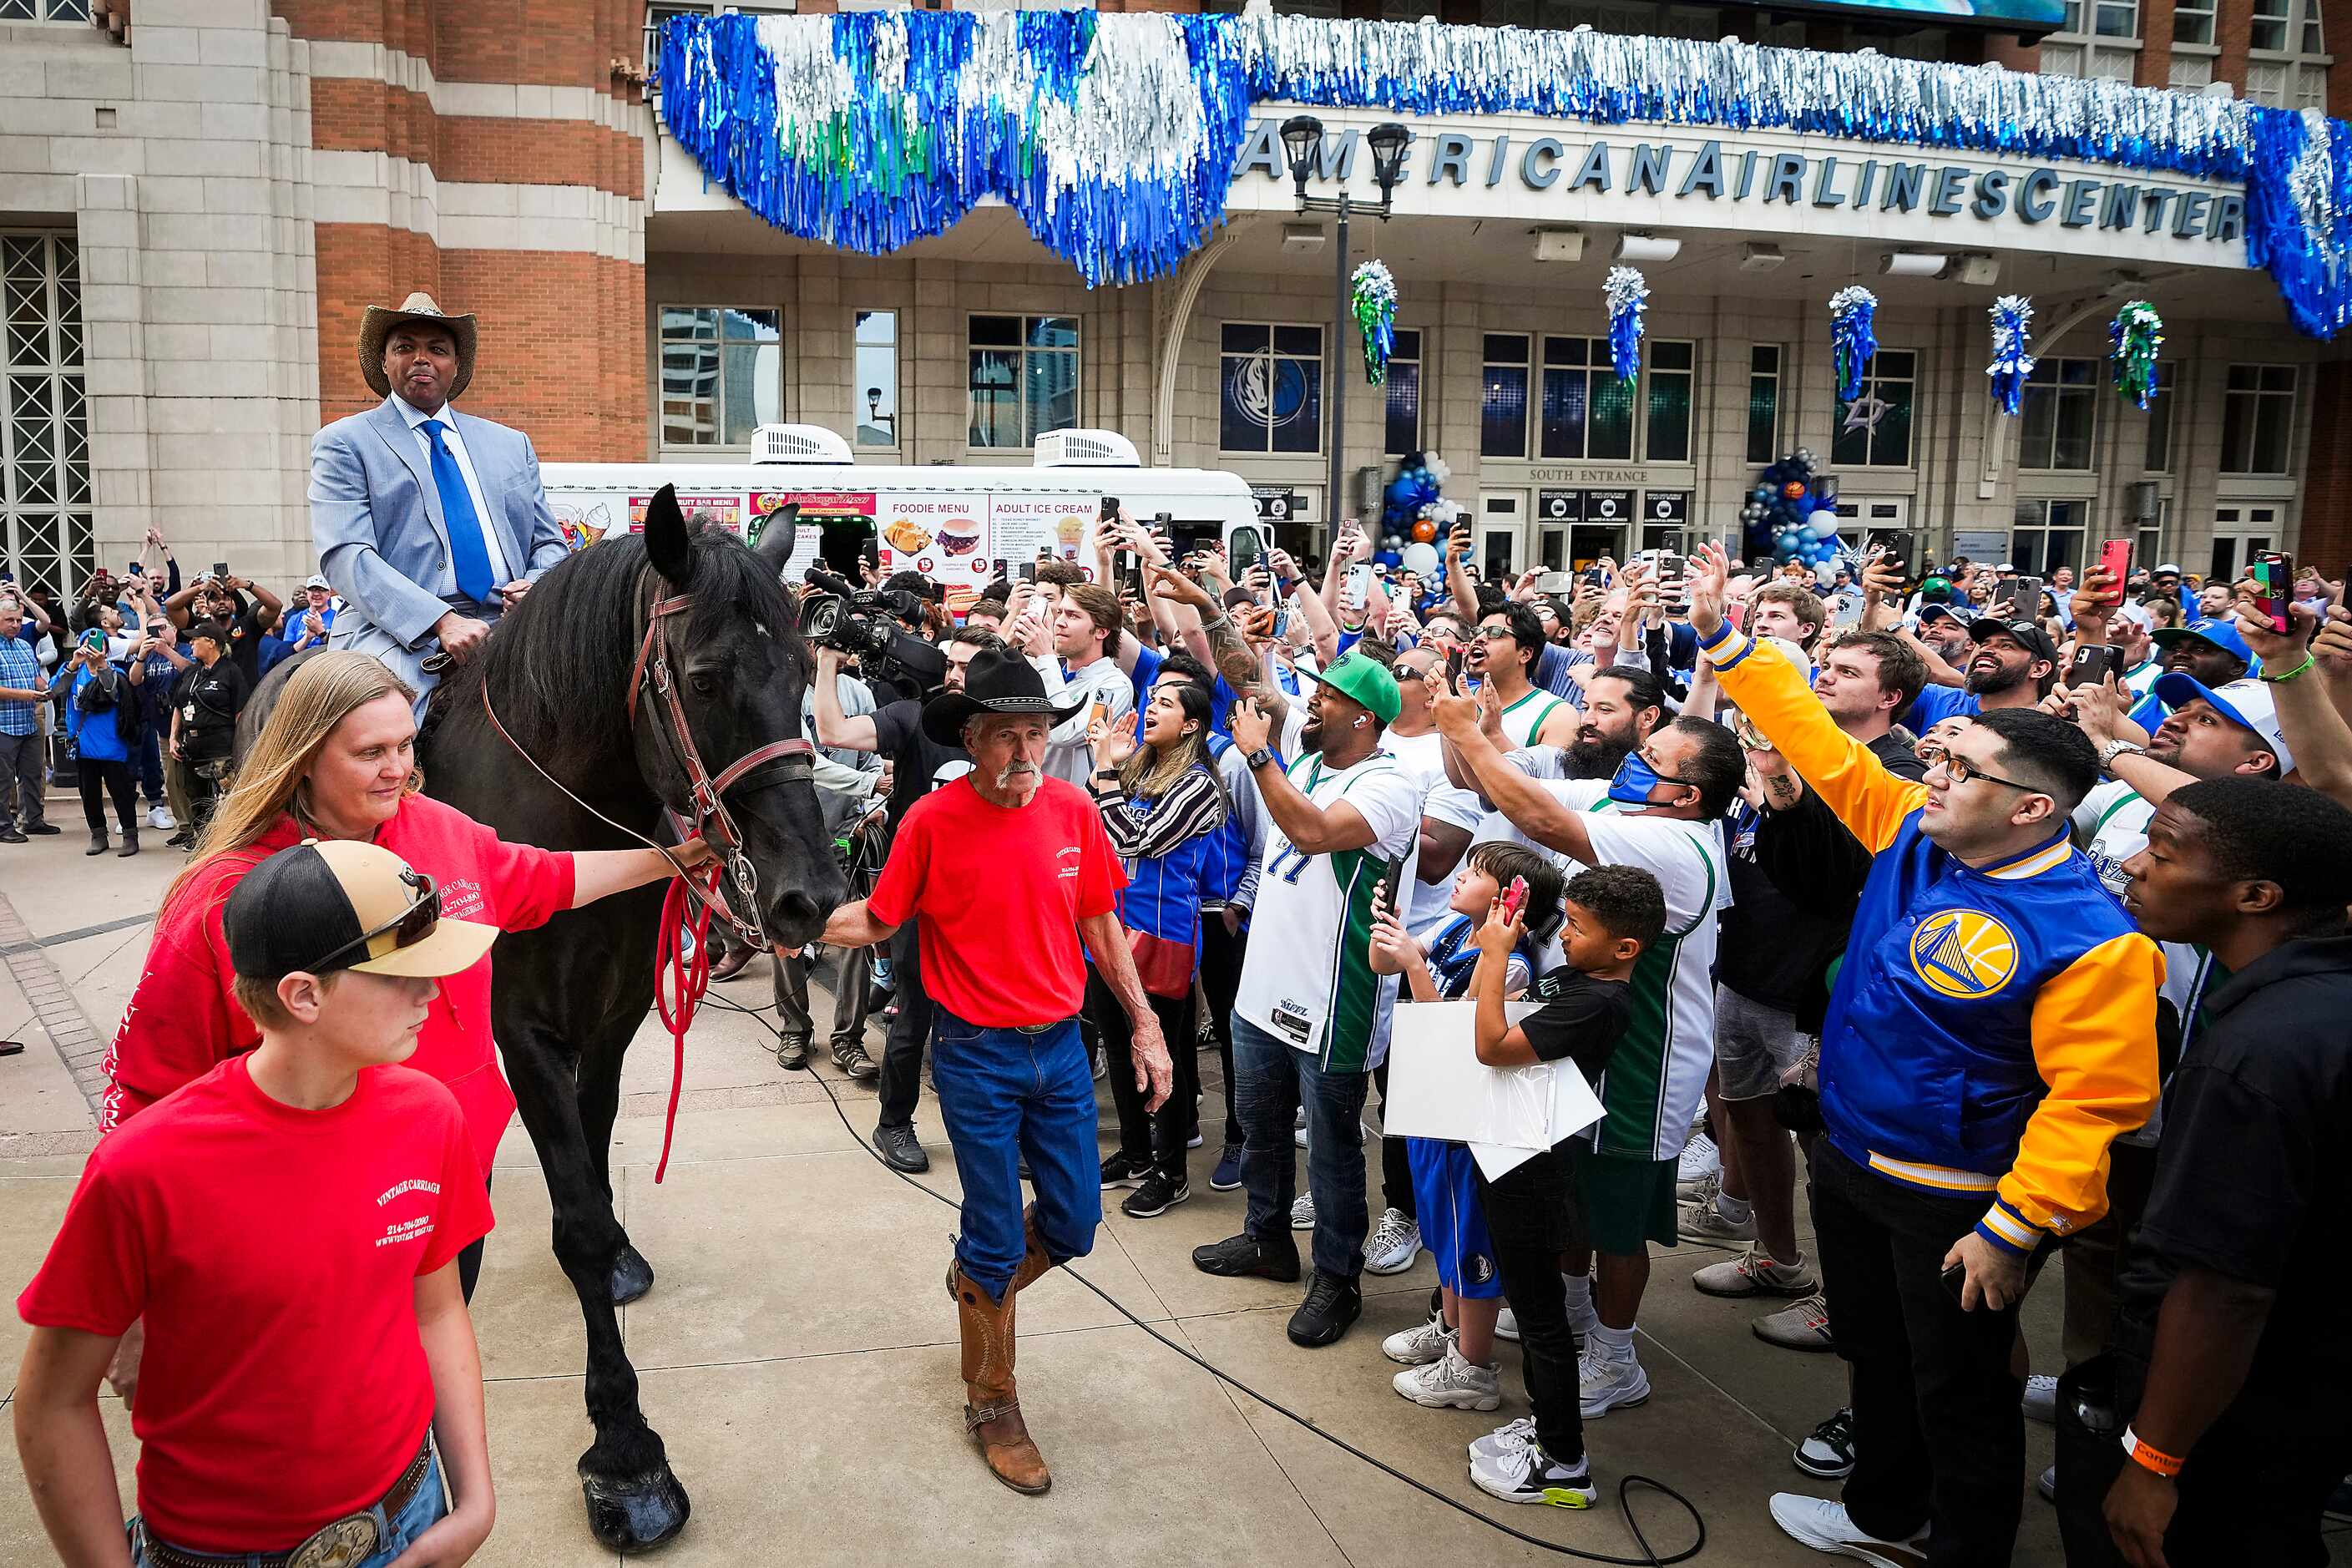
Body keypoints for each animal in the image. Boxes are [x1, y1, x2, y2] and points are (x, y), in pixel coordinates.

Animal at [413, 496, 847, 1551]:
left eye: (802, 674)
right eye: (704, 678)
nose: (811, 898)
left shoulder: (613, 1015)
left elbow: (595, 1160)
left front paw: (613, 1260)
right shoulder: (523, 1028)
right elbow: (572, 1211)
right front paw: (626, 1452)